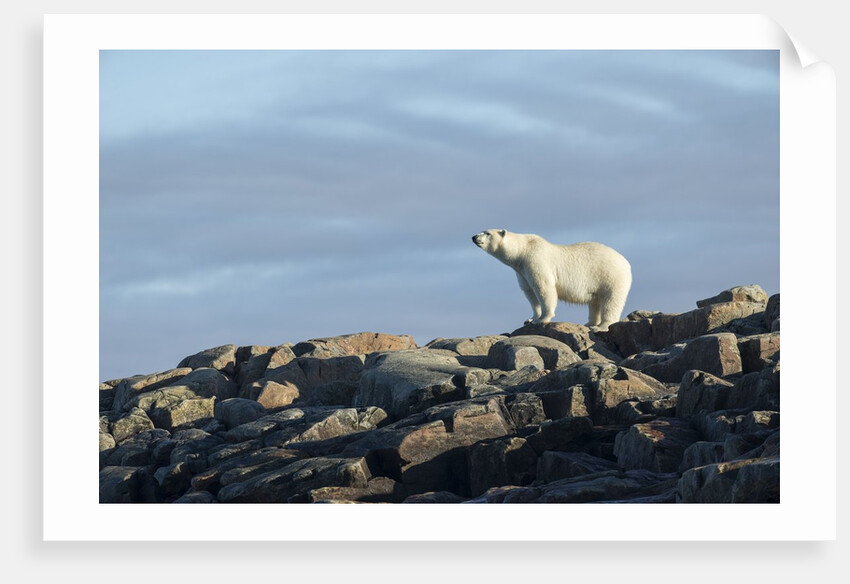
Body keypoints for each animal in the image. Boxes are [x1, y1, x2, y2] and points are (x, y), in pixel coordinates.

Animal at [472, 229, 632, 332]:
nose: (474, 237)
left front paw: (543, 319)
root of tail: (626, 263)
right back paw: (589, 323)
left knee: (611, 301)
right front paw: (531, 319)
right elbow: (529, 292)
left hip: (610, 276)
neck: (522, 251)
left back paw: (600, 327)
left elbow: (544, 288)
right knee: (595, 301)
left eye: (487, 233)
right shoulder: (521, 271)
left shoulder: (536, 260)